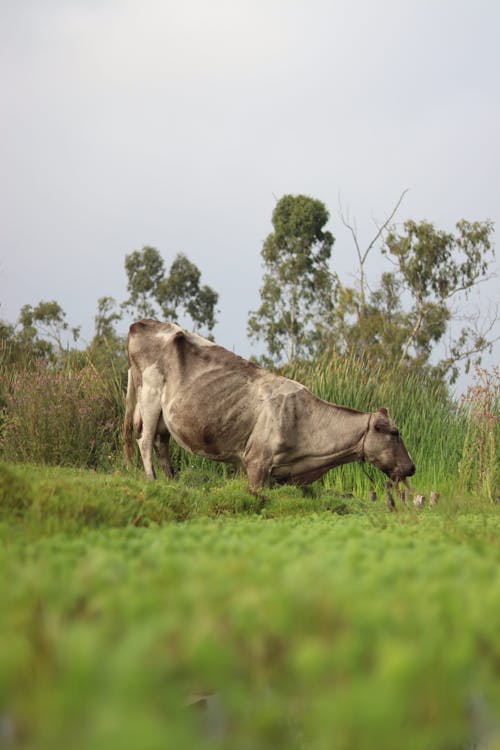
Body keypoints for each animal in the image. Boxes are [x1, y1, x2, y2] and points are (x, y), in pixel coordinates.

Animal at [123, 320, 416, 490]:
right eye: (395, 432)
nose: (412, 467)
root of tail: (141, 323)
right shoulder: (256, 463)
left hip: (164, 413)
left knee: (161, 443)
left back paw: (172, 481)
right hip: (149, 395)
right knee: (144, 441)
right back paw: (152, 480)